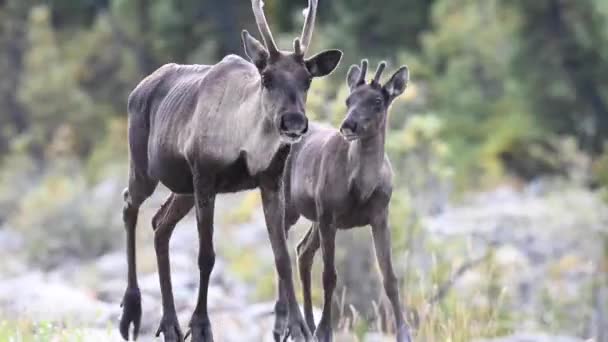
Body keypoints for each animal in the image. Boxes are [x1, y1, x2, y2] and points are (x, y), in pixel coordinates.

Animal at [282, 60, 410, 340]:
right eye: (348, 99)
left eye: (377, 101)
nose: (348, 125)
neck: (361, 188)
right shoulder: (329, 215)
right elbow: (330, 276)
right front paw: (325, 331)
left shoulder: (380, 216)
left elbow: (389, 276)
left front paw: (404, 332)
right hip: (291, 206)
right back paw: (291, 325)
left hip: (315, 216)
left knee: (302, 251)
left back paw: (307, 324)